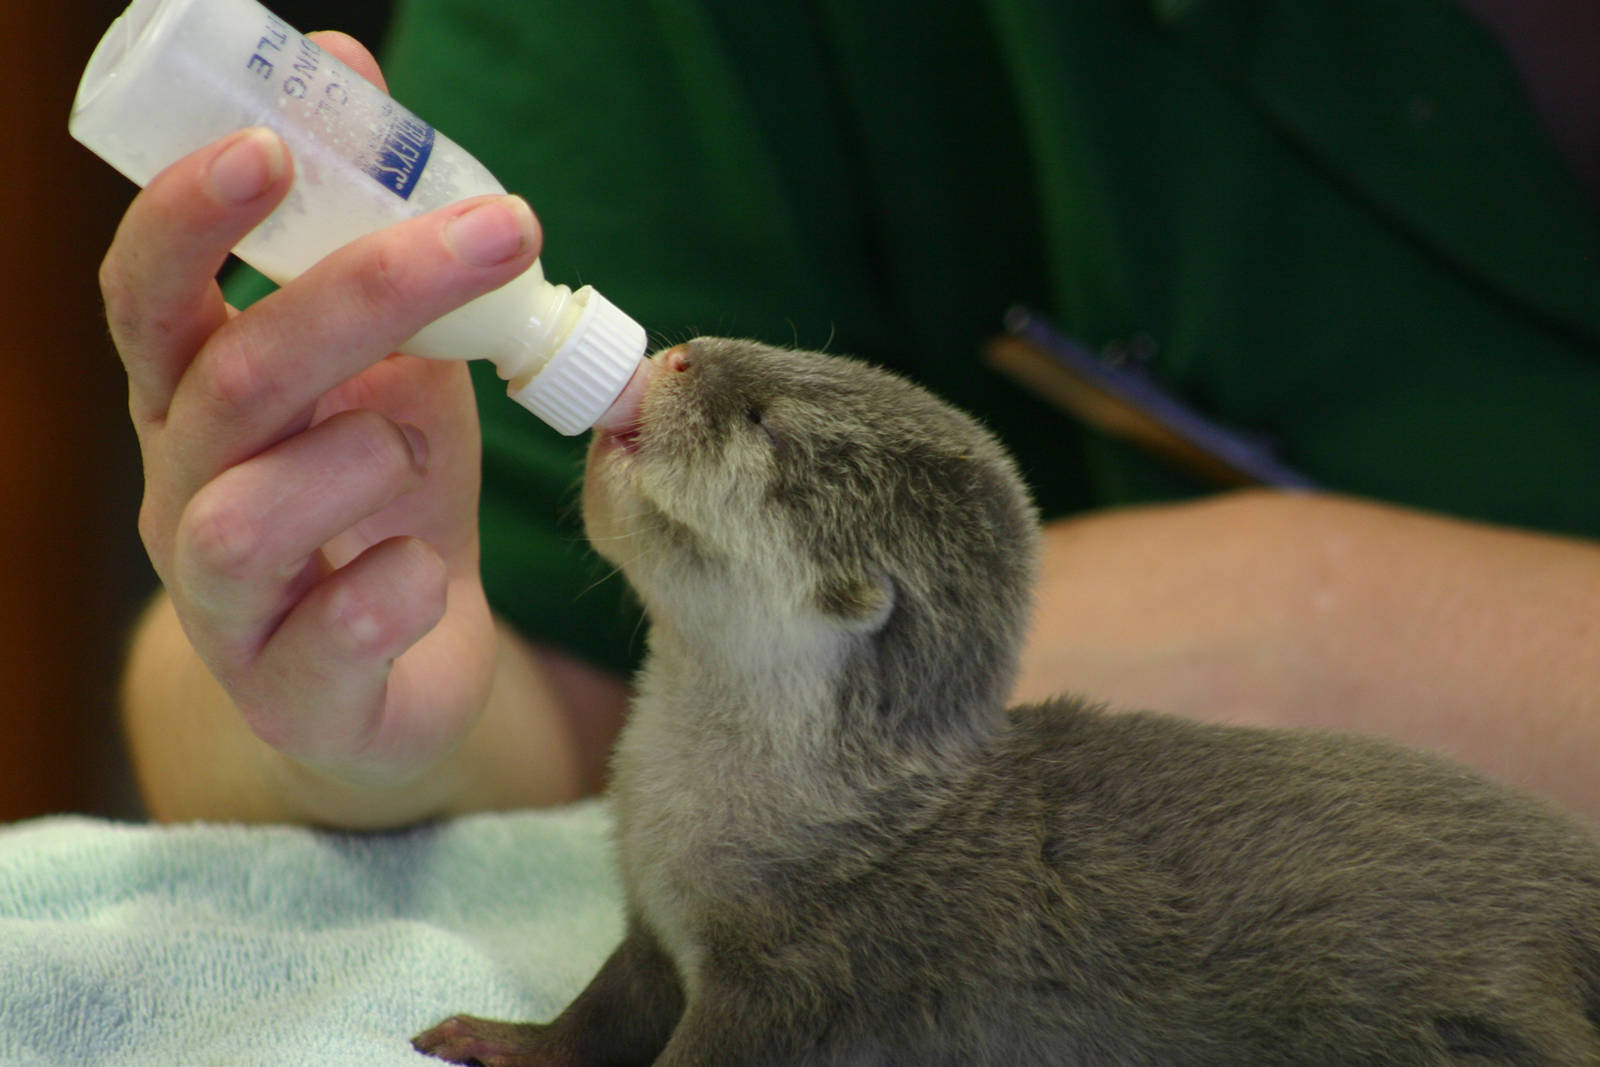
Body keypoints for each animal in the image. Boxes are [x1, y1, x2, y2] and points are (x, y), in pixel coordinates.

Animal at [416, 338, 1600, 1066]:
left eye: (759, 420)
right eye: (751, 358)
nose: (675, 352)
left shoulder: (800, 974)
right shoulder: (656, 919)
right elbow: (602, 1007)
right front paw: (501, 1036)